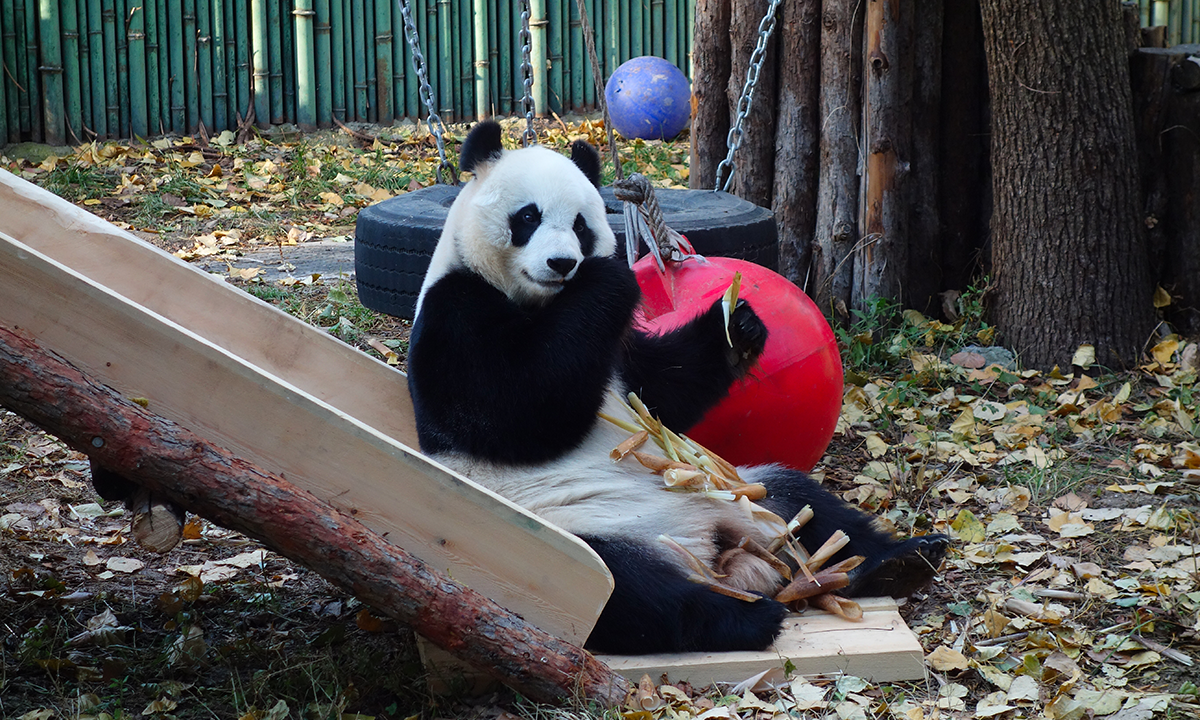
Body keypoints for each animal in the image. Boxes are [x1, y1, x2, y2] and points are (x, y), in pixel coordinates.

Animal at [412, 121, 945, 657]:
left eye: (582, 225)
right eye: (528, 216)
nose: (563, 263)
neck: (544, 303)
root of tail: (715, 550)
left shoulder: (618, 351)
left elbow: (663, 391)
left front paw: (739, 327)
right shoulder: (455, 311)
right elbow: (511, 412)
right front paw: (607, 279)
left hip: (743, 492)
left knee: (808, 505)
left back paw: (903, 560)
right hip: (564, 534)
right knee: (623, 591)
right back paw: (746, 618)